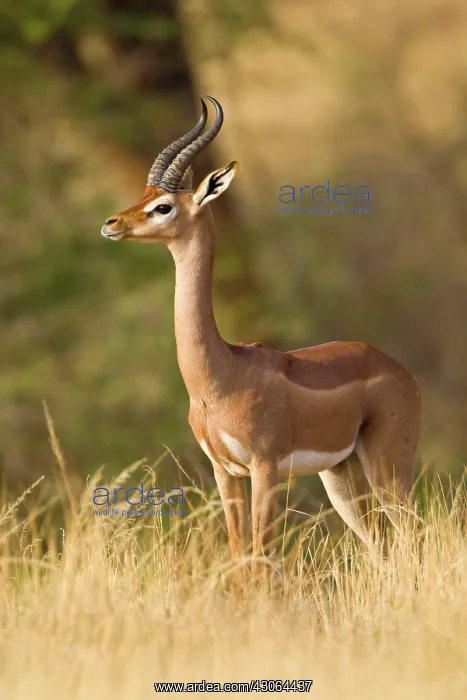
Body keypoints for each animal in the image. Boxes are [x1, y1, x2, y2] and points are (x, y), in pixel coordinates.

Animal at [101, 96, 421, 574]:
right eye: (144, 194)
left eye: (164, 206)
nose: (112, 223)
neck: (219, 377)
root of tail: (399, 370)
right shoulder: (225, 472)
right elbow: (239, 554)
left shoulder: (265, 468)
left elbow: (260, 557)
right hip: (340, 475)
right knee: (381, 544)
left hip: (388, 465)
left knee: (413, 534)